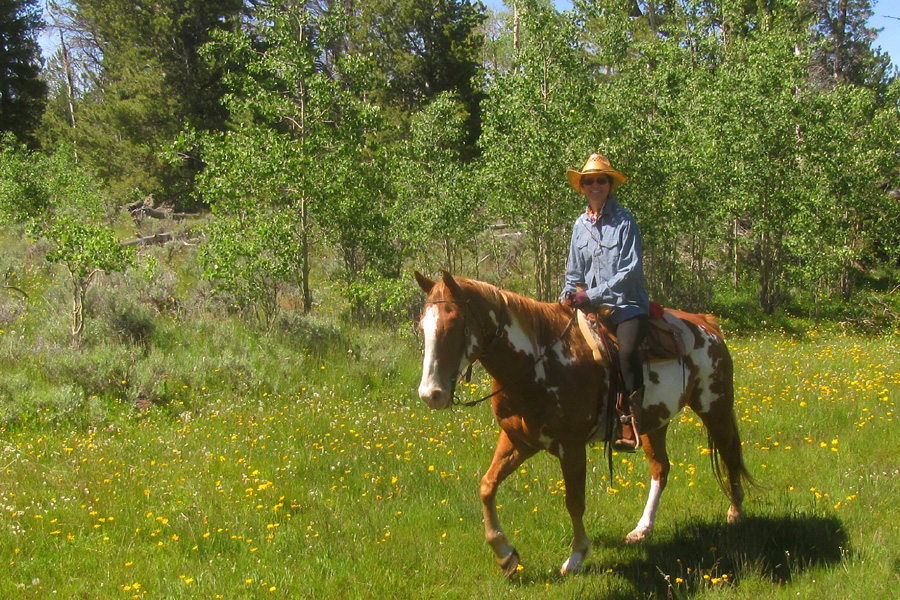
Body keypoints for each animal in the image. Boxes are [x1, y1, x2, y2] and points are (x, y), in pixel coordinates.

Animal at [414, 270, 754, 577]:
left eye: (454, 323)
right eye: (423, 326)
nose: (431, 394)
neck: (536, 364)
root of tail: (706, 323)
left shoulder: (571, 447)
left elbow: (574, 501)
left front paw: (576, 557)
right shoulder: (518, 441)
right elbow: (487, 486)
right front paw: (505, 555)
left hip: (715, 406)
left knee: (729, 453)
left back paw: (735, 513)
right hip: (655, 422)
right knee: (660, 468)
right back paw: (642, 529)